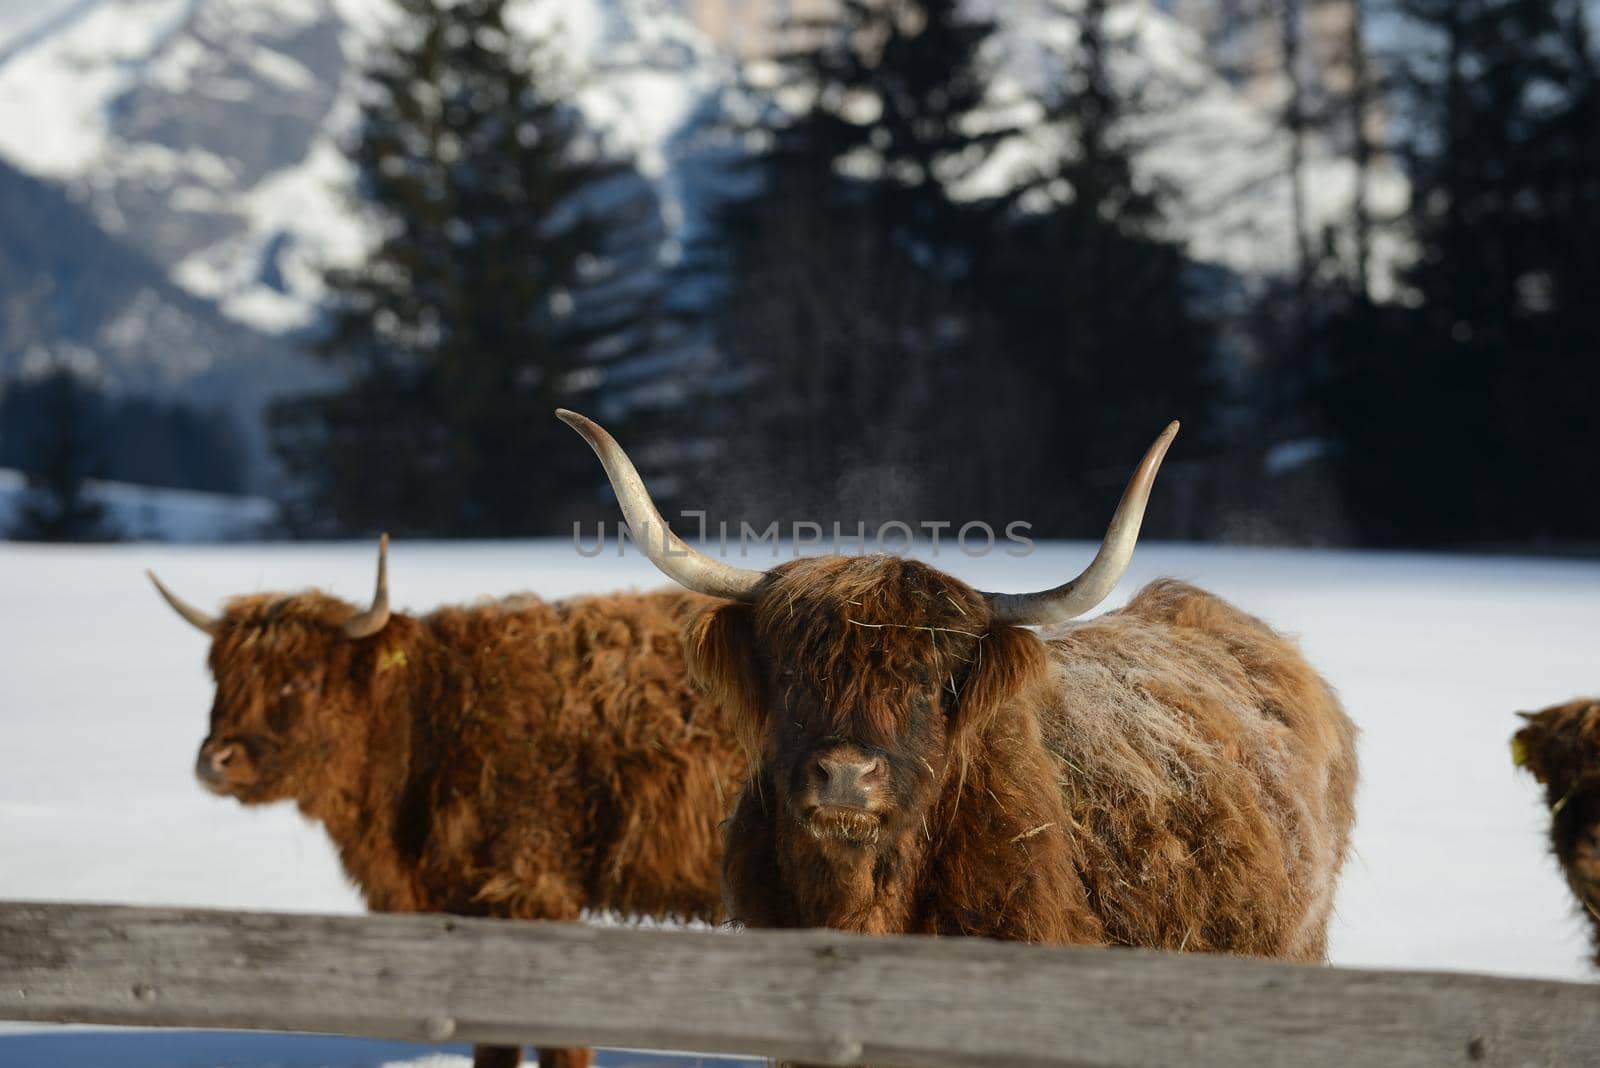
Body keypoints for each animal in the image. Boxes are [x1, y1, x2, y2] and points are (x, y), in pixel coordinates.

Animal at [147, 543, 745, 1068]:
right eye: (220, 677)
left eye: (304, 678)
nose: (216, 760)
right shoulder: (469, 900)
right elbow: (494, 1042)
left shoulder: (533, 889)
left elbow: (558, 1039)